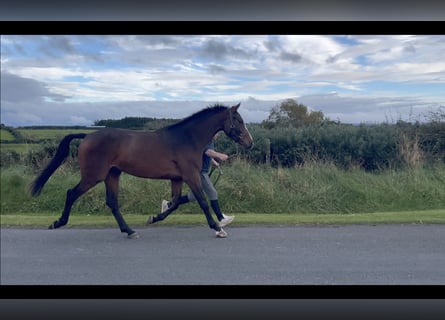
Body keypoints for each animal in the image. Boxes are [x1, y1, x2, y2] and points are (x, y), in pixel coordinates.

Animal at [28, 102, 253, 238]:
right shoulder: (191, 176)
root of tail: (87, 136)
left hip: (112, 175)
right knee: (71, 194)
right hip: (93, 176)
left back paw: (129, 230)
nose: (250, 143)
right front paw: (218, 228)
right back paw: (58, 222)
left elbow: (175, 203)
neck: (187, 139)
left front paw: (154, 218)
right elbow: (203, 202)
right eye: (239, 121)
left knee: (112, 202)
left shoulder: (177, 178)